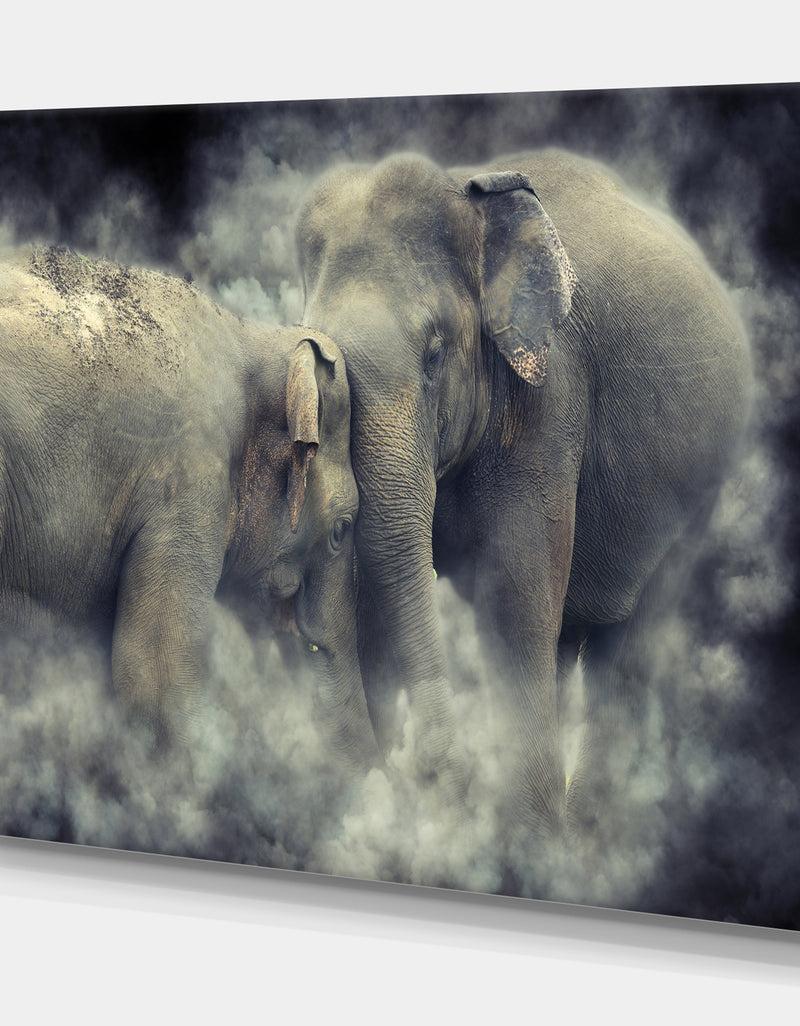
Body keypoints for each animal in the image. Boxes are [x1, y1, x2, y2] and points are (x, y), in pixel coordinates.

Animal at [296, 148, 752, 839]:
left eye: (434, 354)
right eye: (322, 362)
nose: (434, 776)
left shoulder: (549, 393)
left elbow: (515, 590)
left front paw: (525, 842)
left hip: (703, 488)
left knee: (632, 640)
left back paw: (587, 835)